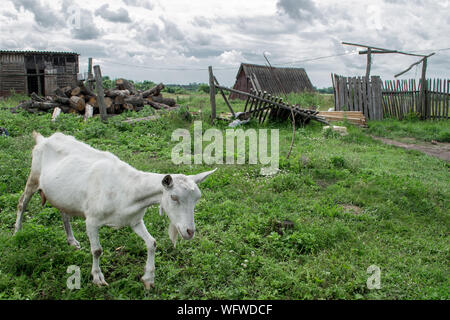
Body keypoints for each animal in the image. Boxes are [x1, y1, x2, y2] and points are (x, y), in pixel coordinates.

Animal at [14, 131, 216, 288]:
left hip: (62, 193)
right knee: (22, 203)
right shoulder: (92, 220)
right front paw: (98, 278)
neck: (126, 188)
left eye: (197, 198)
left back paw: (72, 241)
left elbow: (152, 243)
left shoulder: (134, 220)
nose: (189, 232)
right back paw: (17, 232)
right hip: (34, 176)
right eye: (174, 197)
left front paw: (148, 279)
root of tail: (43, 139)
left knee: (64, 212)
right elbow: (97, 250)